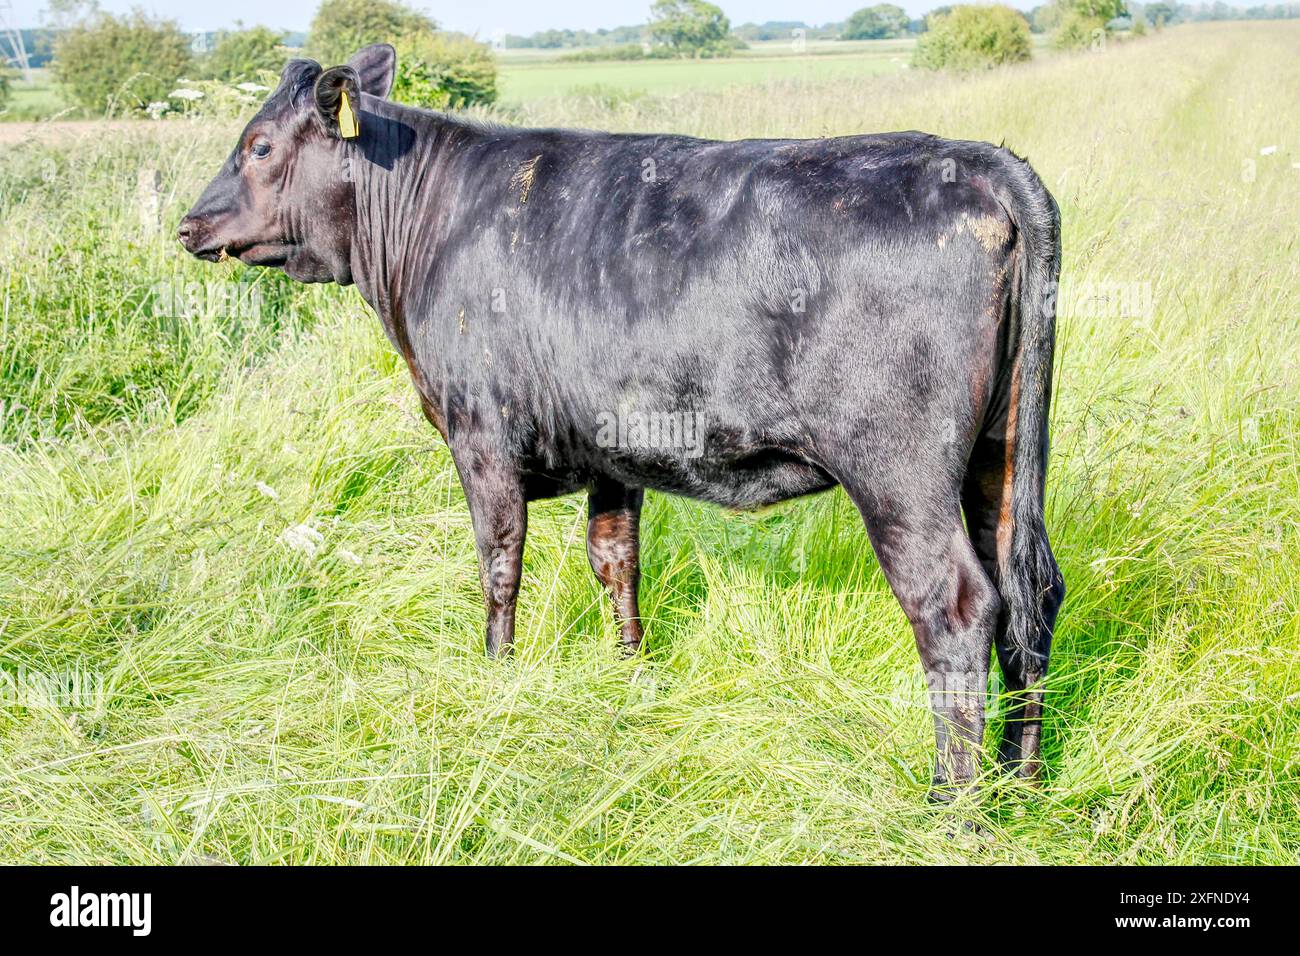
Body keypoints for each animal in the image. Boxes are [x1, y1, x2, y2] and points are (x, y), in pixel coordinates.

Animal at [175, 44, 1066, 796]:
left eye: (258, 147)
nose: (190, 224)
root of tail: (984, 162)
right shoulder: (612, 449)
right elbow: (615, 560)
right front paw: (631, 676)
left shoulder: (480, 432)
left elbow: (500, 565)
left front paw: (495, 677)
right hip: (1002, 455)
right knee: (1031, 591)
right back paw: (1021, 780)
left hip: (898, 470)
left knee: (957, 607)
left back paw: (953, 801)